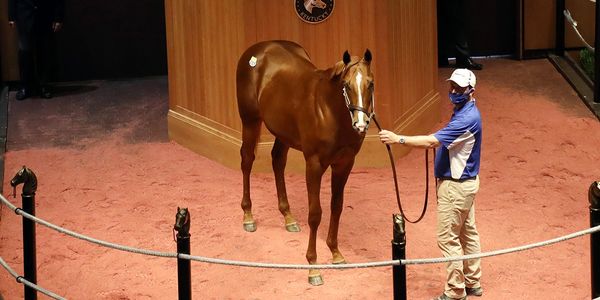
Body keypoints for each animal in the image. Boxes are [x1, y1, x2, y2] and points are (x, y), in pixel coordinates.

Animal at [236, 40, 372, 286]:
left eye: (371, 84)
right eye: (346, 85)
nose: (361, 124)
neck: (329, 111)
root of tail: (258, 48)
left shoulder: (344, 164)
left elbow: (336, 207)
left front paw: (336, 253)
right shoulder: (314, 164)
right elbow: (315, 214)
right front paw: (313, 267)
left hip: (282, 133)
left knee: (278, 161)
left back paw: (288, 217)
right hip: (250, 121)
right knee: (247, 160)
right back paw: (248, 216)